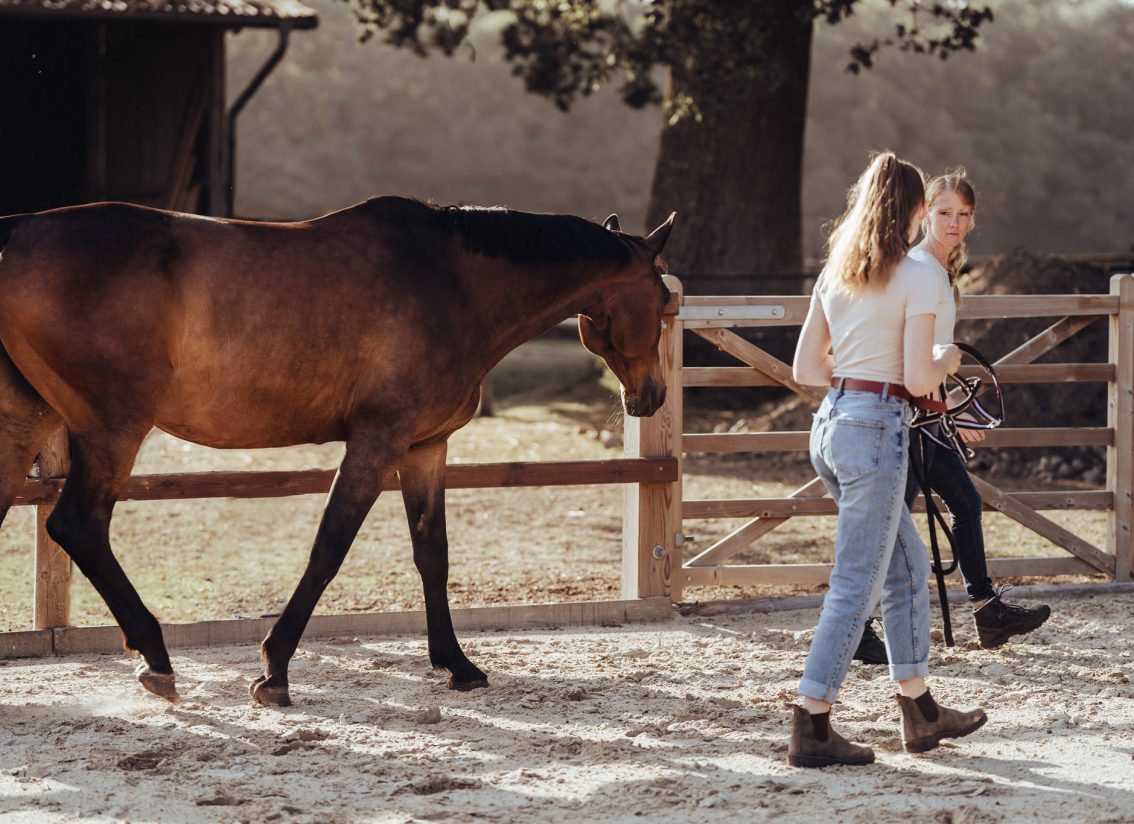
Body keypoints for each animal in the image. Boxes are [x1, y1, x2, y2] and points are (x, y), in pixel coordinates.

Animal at [0, 196, 671, 707]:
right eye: (665, 303)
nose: (653, 396)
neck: (453, 284)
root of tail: (15, 232)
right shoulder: (377, 442)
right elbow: (329, 547)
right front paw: (274, 670)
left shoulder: (424, 448)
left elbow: (432, 554)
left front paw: (456, 664)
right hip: (113, 428)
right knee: (79, 524)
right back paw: (157, 658)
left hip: (26, 424)